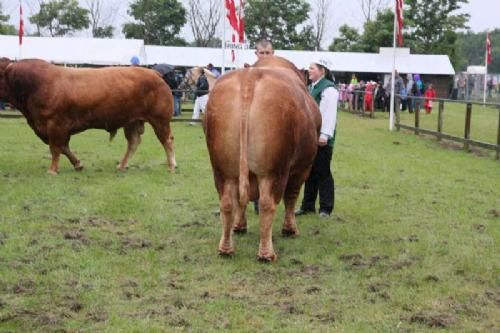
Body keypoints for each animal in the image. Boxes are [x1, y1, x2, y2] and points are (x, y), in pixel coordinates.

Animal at [0, 57, 176, 174]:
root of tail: (154, 72)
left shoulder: (55, 124)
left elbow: (55, 148)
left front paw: (52, 170)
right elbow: (64, 148)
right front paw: (77, 164)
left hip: (160, 120)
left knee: (167, 140)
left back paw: (171, 165)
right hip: (131, 121)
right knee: (134, 142)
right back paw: (122, 165)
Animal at [205, 55, 322, 260]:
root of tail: (249, 76)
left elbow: (240, 202)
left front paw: (239, 226)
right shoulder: (302, 169)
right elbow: (291, 196)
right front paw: (290, 229)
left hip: (222, 170)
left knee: (227, 202)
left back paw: (226, 249)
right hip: (274, 171)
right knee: (268, 204)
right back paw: (267, 254)